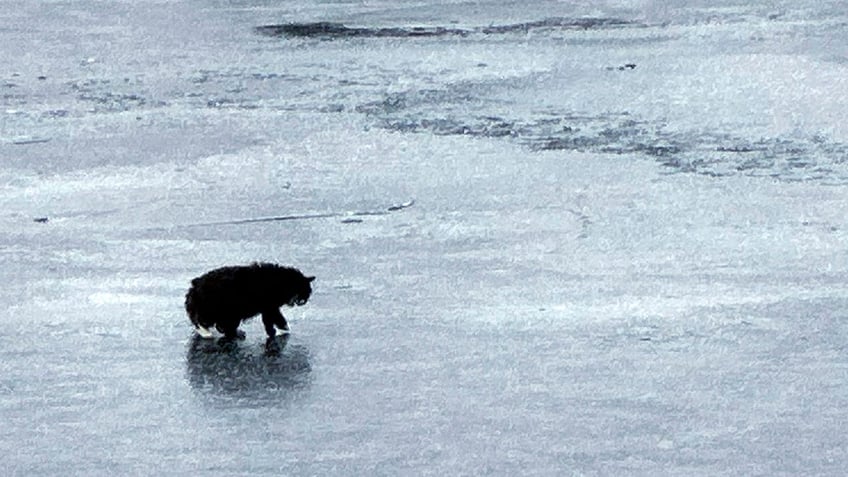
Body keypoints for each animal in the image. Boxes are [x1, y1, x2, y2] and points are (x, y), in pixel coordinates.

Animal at [186, 264, 314, 338]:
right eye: (304, 291)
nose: (304, 301)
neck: (282, 281)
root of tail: (196, 284)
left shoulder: (269, 307)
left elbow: (271, 320)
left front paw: (277, 331)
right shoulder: (269, 306)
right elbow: (275, 319)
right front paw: (282, 330)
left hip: (230, 313)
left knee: (221, 326)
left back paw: (235, 333)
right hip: (214, 307)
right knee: (200, 321)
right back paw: (206, 333)